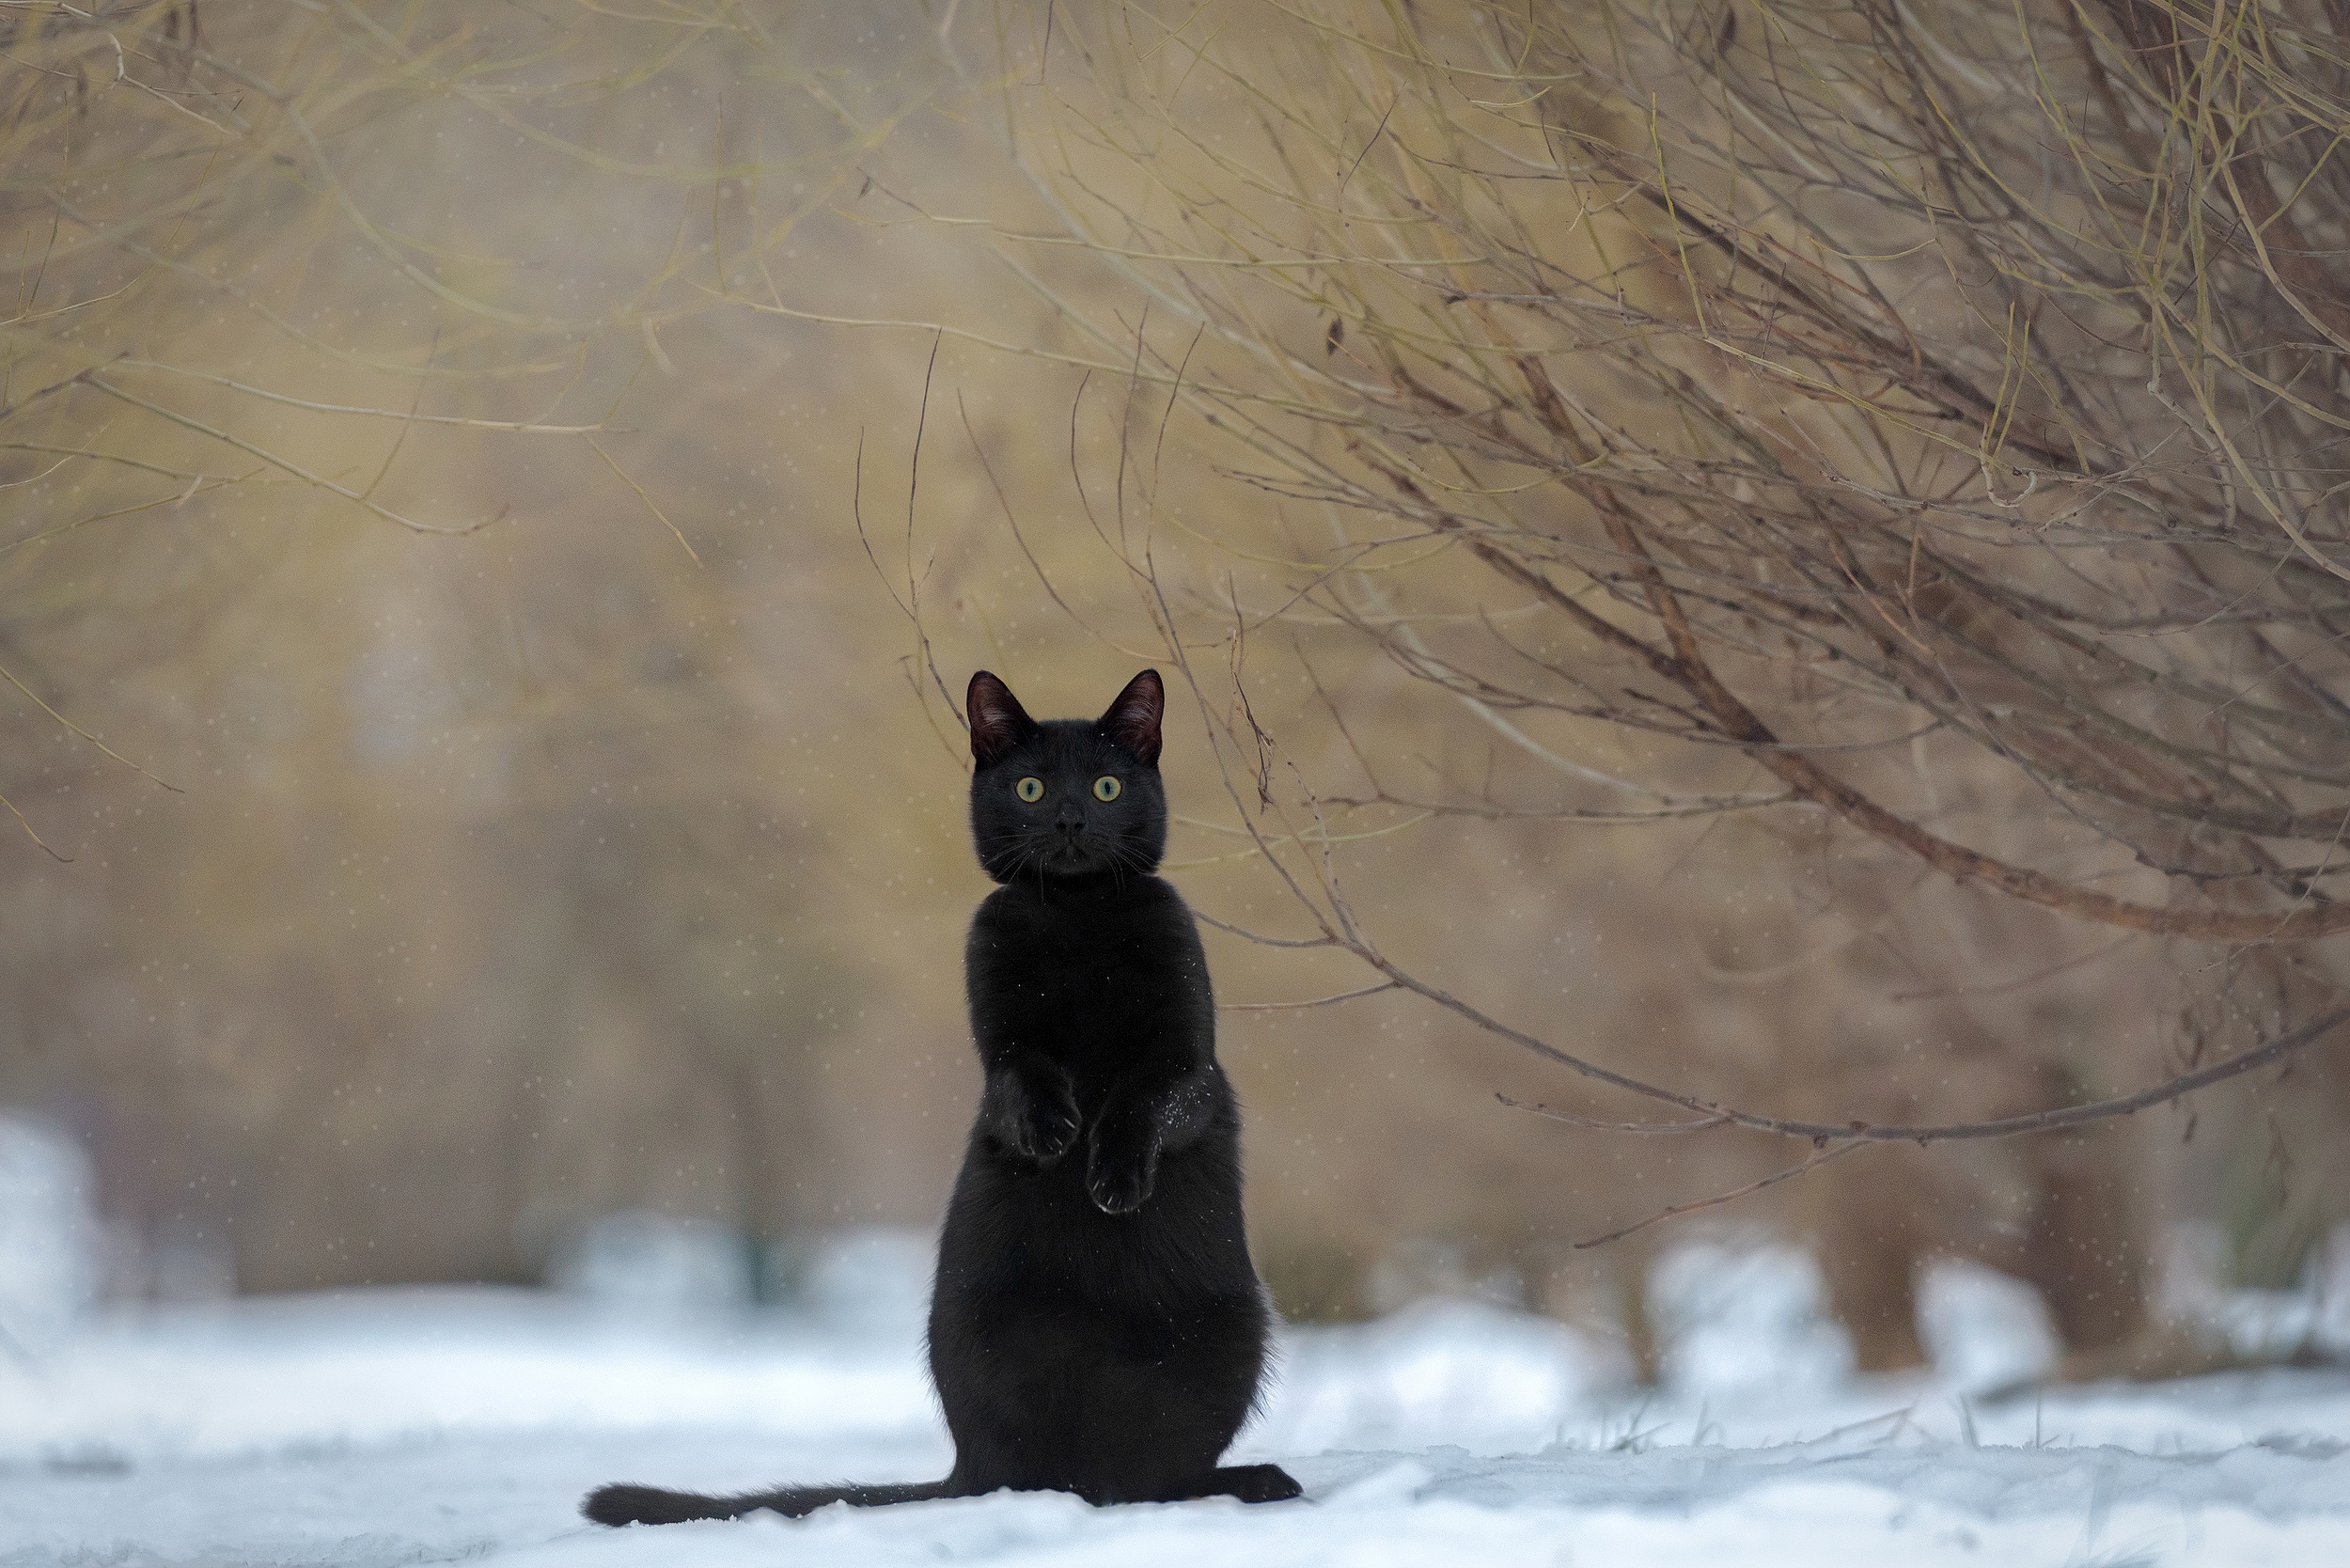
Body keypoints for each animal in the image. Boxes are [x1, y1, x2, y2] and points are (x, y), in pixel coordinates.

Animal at [578, 667, 1297, 1523]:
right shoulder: (1000, 1035)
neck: (1076, 921)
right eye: (1029, 787)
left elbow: (1146, 1098)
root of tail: (966, 1469)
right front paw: (1051, 1133)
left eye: (1106, 785)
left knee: (1157, 1475)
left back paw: (1256, 1480)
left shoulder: (1190, 1063)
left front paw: (1112, 1177)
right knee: (1075, 1477)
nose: (1068, 818)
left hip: (1232, 1336)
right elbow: (1022, 1078)